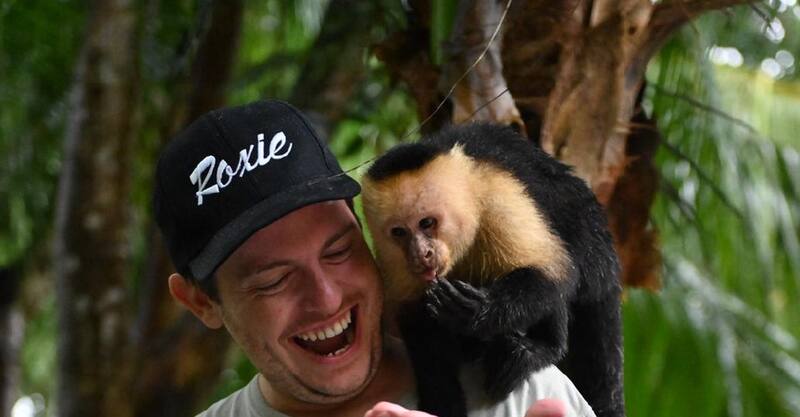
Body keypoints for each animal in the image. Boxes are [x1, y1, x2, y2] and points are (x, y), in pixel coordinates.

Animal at [360, 122, 624, 417]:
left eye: (427, 223)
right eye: (399, 232)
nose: (421, 253)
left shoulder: (497, 197)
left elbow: (550, 271)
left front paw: (479, 311)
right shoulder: (392, 260)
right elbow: (418, 321)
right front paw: (442, 401)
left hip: (590, 245)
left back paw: (542, 348)